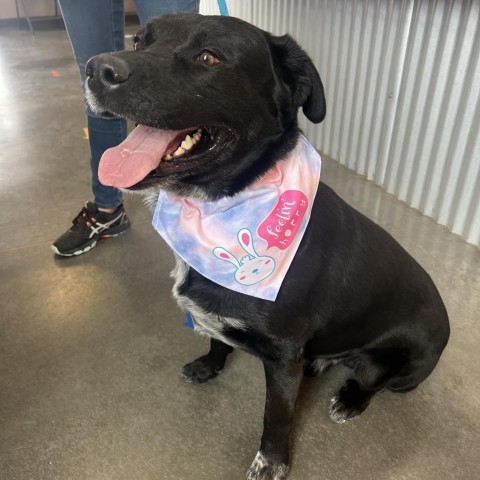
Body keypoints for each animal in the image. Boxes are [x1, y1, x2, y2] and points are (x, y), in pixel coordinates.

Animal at [85, 13, 450, 478]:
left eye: (209, 57)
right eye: (138, 41)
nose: (96, 69)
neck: (221, 205)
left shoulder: (282, 359)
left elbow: (276, 416)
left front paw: (271, 462)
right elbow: (217, 339)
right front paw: (209, 365)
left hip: (395, 369)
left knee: (375, 383)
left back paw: (350, 399)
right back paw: (323, 360)